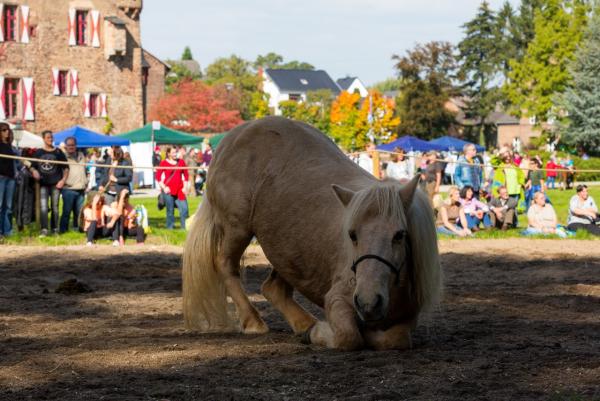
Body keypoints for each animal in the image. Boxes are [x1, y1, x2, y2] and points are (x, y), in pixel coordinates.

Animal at [183, 116, 440, 350]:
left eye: (399, 235)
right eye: (352, 235)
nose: (368, 302)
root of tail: (234, 135)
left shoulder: (408, 315)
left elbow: (394, 338)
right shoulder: (338, 299)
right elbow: (349, 336)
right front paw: (321, 333)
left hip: (285, 245)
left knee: (273, 288)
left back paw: (304, 323)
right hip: (237, 228)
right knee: (225, 264)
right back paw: (254, 321)